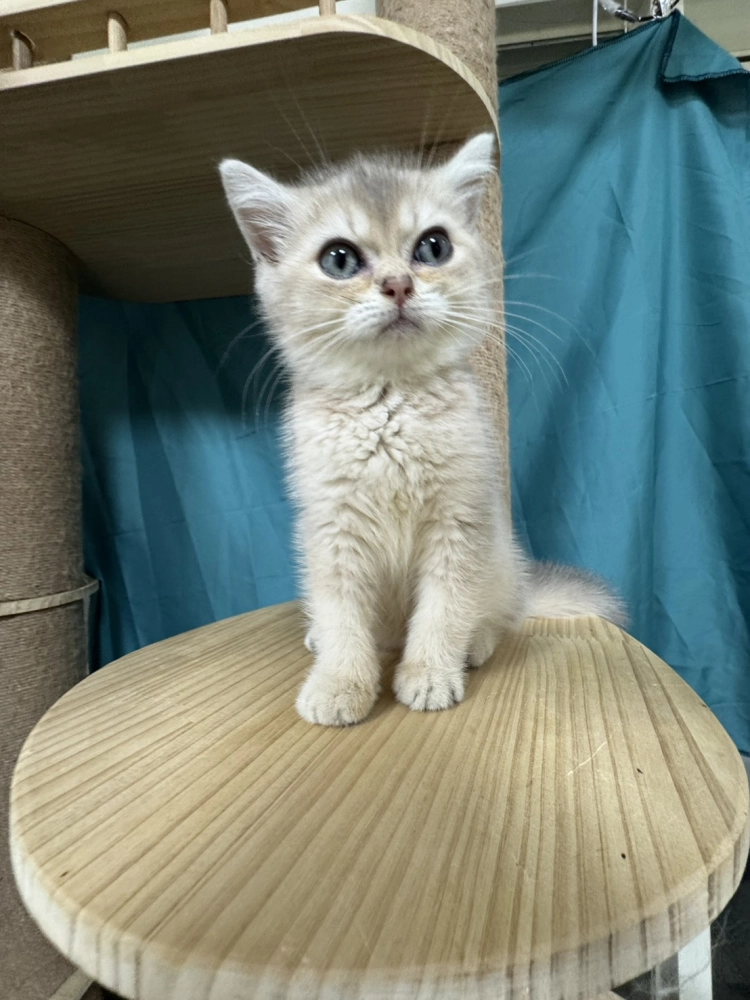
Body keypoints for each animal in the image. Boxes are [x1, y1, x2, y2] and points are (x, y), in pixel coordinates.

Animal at [219, 133, 624, 727]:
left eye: (433, 248)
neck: (391, 404)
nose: (398, 284)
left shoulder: (460, 523)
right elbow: (342, 616)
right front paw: (339, 683)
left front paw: (430, 674)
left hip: (502, 561)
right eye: (339, 259)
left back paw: (475, 644)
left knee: (502, 616)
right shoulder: (331, 529)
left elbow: (444, 609)